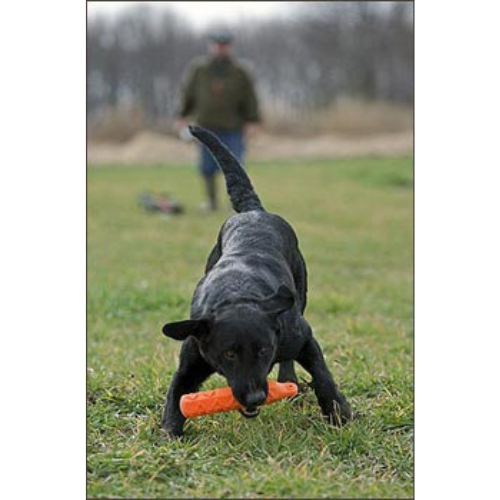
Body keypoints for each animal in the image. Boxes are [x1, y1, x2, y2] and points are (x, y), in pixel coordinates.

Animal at [161, 126, 352, 438]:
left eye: (263, 350)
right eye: (229, 354)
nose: (255, 397)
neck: (237, 295)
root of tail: (254, 211)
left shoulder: (302, 335)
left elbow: (323, 375)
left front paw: (339, 413)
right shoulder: (192, 358)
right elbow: (177, 393)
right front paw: (169, 432)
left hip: (300, 293)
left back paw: (290, 382)